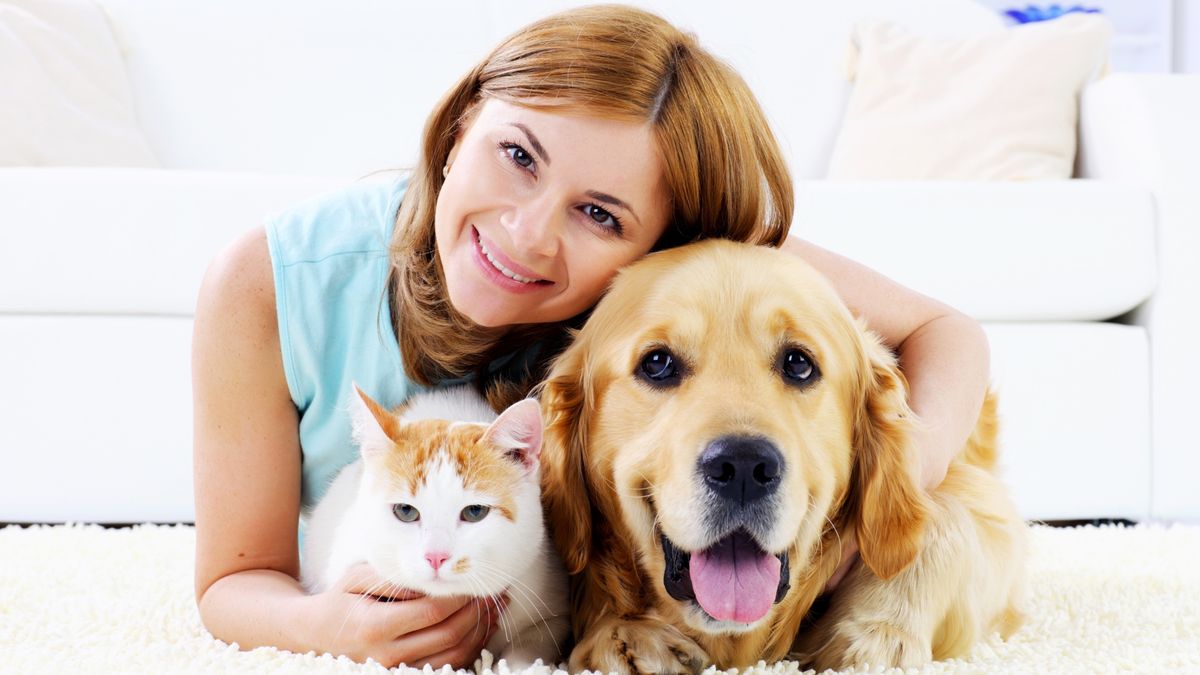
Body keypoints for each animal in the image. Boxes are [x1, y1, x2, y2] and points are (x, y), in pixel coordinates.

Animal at [297, 384, 564, 667]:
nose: (436, 556)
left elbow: (532, 644)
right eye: (405, 511)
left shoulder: (547, 598)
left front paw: (516, 665)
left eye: (474, 512)